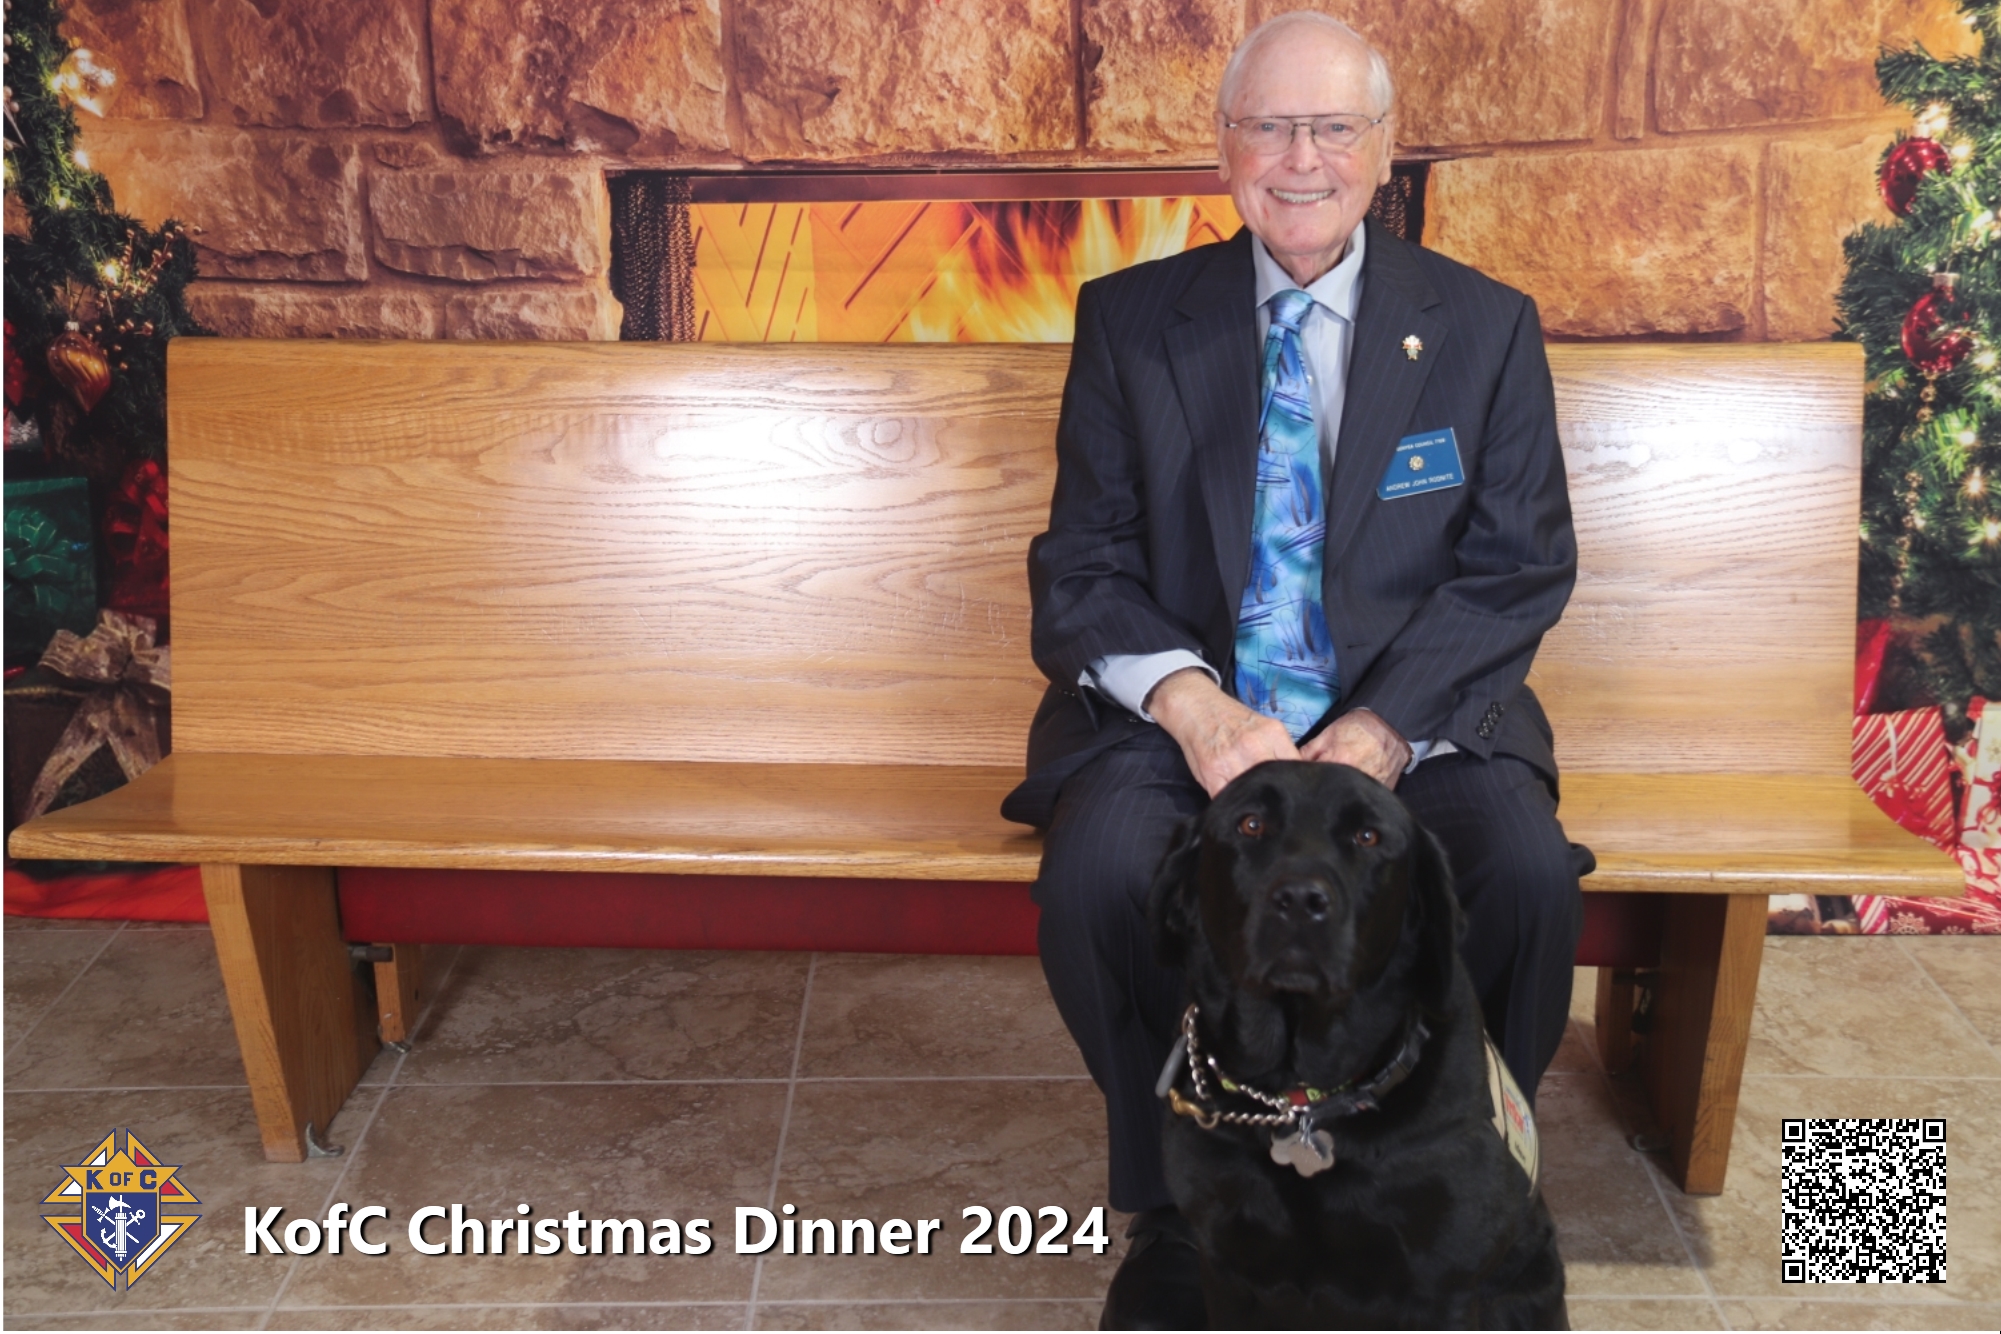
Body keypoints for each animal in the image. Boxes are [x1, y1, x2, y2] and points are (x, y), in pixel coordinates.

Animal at [1149, 760, 1567, 1330]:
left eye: (1368, 837)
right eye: (1250, 824)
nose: (1300, 901)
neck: (1300, 1096)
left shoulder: (1443, 1287)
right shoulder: (1227, 1264)